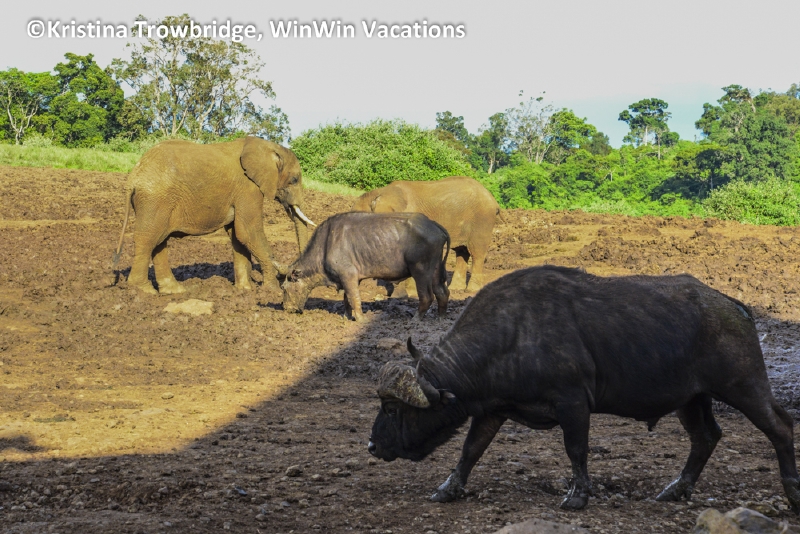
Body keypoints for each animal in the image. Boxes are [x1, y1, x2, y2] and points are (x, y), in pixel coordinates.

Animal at [282, 212, 450, 321]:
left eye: (283, 288)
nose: (286, 308)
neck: (326, 245)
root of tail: (434, 225)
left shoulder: (348, 276)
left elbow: (353, 297)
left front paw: (360, 318)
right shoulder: (349, 279)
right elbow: (346, 299)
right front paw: (347, 316)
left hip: (420, 270)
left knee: (427, 296)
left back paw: (415, 319)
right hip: (435, 270)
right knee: (442, 292)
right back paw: (441, 318)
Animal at [368, 266, 800, 512]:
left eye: (392, 409)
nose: (372, 446)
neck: (514, 332)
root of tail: (735, 306)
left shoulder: (572, 403)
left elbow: (576, 450)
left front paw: (578, 496)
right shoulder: (492, 410)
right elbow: (471, 450)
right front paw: (448, 488)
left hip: (743, 385)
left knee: (780, 426)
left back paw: (792, 494)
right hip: (692, 399)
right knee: (706, 437)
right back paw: (676, 489)